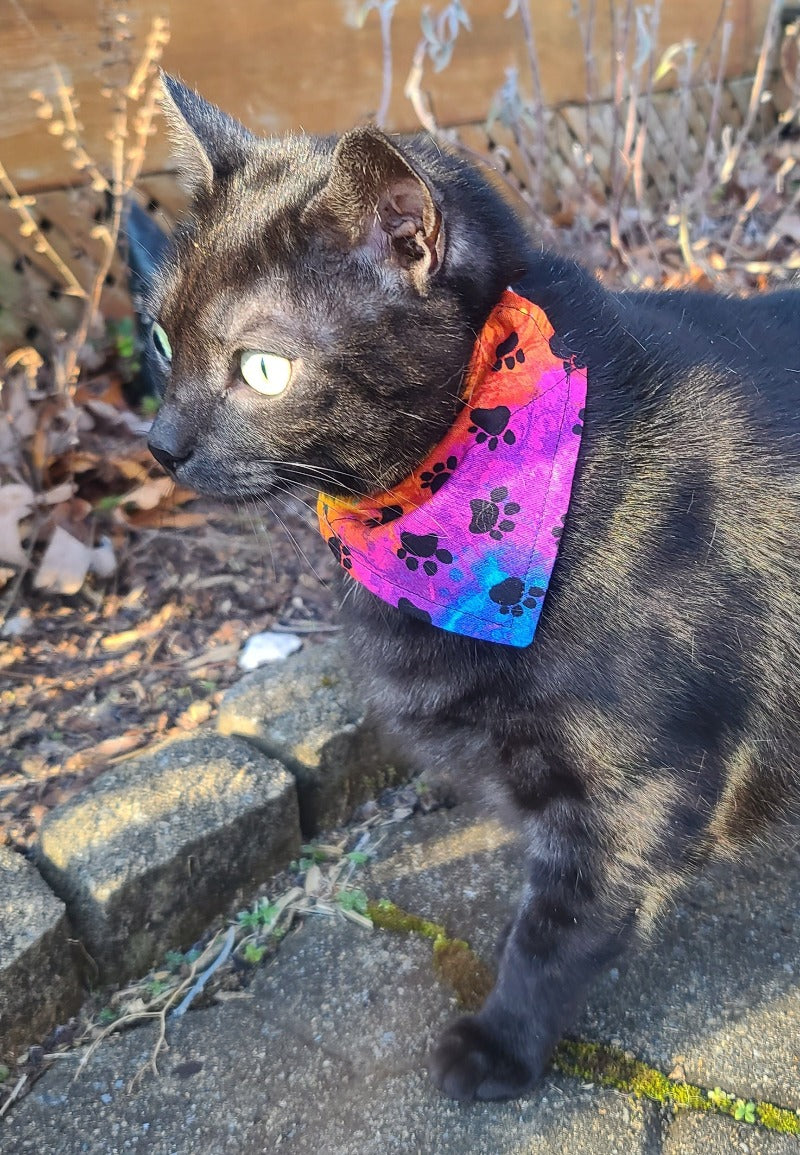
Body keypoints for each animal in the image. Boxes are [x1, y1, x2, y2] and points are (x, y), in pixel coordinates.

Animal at [144, 76, 798, 1104]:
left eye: (263, 367)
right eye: (162, 336)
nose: (159, 444)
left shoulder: (649, 782)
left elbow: (559, 929)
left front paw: (501, 1045)